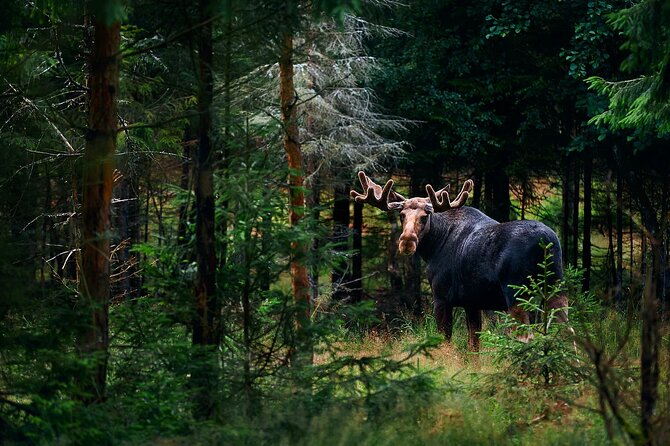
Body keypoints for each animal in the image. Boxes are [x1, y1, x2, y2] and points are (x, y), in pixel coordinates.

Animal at [350, 171, 568, 351]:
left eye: (425, 216)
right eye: (402, 215)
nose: (406, 242)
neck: (433, 247)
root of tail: (545, 242)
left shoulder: (441, 298)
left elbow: (445, 342)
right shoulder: (472, 302)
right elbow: (474, 347)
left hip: (517, 293)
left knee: (526, 337)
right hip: (556, 287)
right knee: (566, 332)